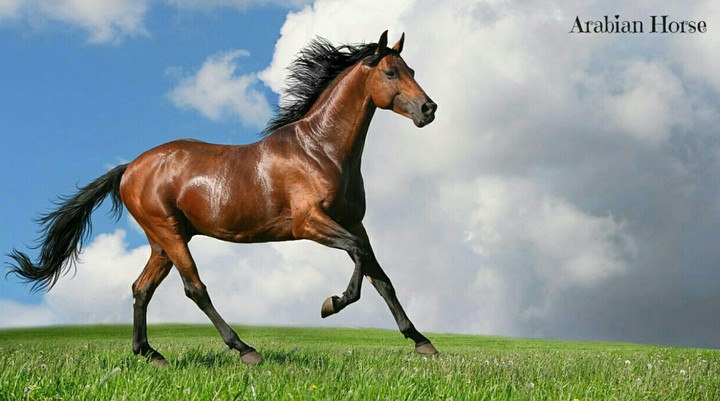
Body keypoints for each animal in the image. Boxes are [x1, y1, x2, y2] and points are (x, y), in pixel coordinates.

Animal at [7, 31, 438, 366]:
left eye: (412, 71)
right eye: (391, 71)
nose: (428, 108)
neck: (320, 150)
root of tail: (130, 167)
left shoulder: (354, 222)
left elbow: (381, 277)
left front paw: (421, 341)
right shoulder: (310, 223)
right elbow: (360, 260)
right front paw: (331, 304)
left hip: (162, 241)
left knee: (141, 288)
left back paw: (151, 354)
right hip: (169, 234)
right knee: (194, 287)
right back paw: (245, 349)